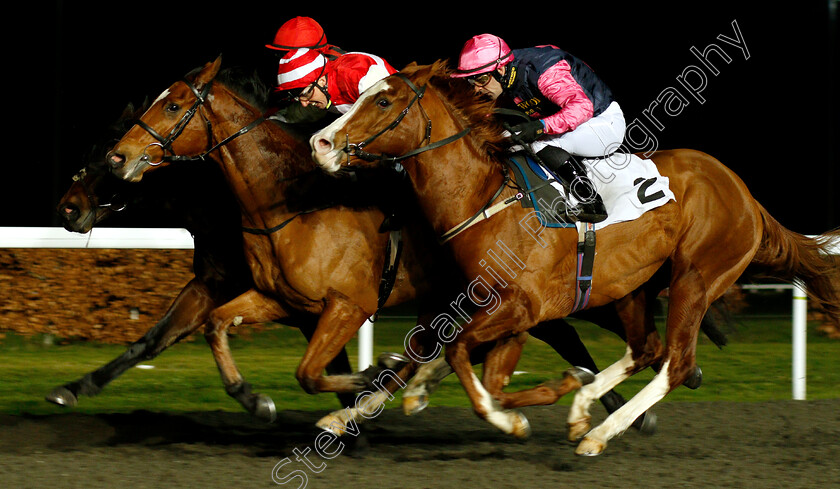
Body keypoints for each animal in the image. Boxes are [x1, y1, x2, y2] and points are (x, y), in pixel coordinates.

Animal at [101, 58, 668, 434]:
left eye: (174, 103)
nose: (118, 156)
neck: (291, 203)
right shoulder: (282, 300)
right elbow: (218, 325)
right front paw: (254, 398)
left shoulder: (348, 304)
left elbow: (312, 372)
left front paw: (370, 378)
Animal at [310, 60, 840, 454]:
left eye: (382, 100)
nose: (321, 143)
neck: (484, 199)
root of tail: (746, 195)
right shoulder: (483, 304)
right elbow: (443, 353)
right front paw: (355, 409)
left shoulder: (522, 308)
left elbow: (464, 359)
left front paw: (515, 416)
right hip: (634, 284)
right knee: (647, 348)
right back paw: (584, 406)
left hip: (697, 278)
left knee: (676, 362)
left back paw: (598, 432)